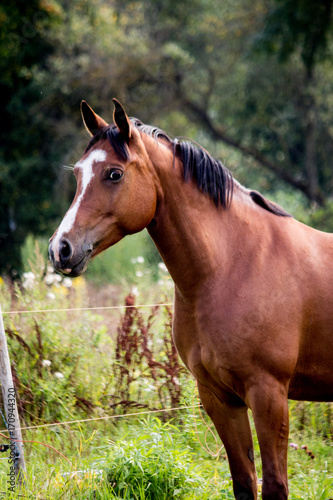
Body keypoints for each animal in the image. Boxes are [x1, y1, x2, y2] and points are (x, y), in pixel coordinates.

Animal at [49, 98, 332, 500]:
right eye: (77, 173)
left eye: (114, 174)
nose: (60, 249)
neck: (234, 265)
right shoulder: (219, 397)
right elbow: (244, 482)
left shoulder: (269, 394)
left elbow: (275, 484)